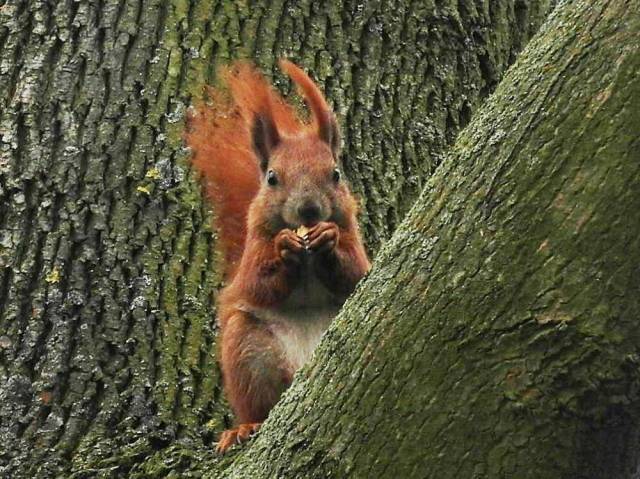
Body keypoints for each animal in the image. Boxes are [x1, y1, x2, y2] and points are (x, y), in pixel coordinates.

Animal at [185, 59, 370, 454]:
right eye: (272, 178)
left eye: (335, 174)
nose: (309, 210)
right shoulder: (254, 248)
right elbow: (257, 282)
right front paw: (284, 248)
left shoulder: (357, 245)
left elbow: (355, 273)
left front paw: (328, 239)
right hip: (250, 353)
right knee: (260, 403)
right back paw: (244, 427)